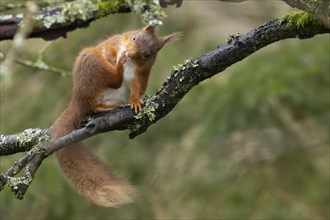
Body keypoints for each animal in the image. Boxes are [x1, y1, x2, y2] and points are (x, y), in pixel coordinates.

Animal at [50, 24, 182, 207]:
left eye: (148, 55)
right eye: (134, 37)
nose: (130, 54)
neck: (130, 62)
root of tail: (78, 98)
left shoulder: (141, 74)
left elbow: (137, 88)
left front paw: (136, 101)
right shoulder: (113, 43)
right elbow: (109, 49)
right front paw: (114, 58)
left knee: (108, 92)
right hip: (90, 61)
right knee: (106, 83)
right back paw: (117, 67)